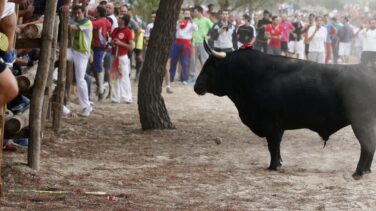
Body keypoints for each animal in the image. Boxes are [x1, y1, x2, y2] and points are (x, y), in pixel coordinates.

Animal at [195, 43, 376, 179]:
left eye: (209, 67)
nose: (196, 86)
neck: (252, 75)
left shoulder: (272, 124)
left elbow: (273, 145)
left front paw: (274, 166)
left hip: (361, 123)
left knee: (367, 145)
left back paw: (359, 172)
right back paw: (366, 170)